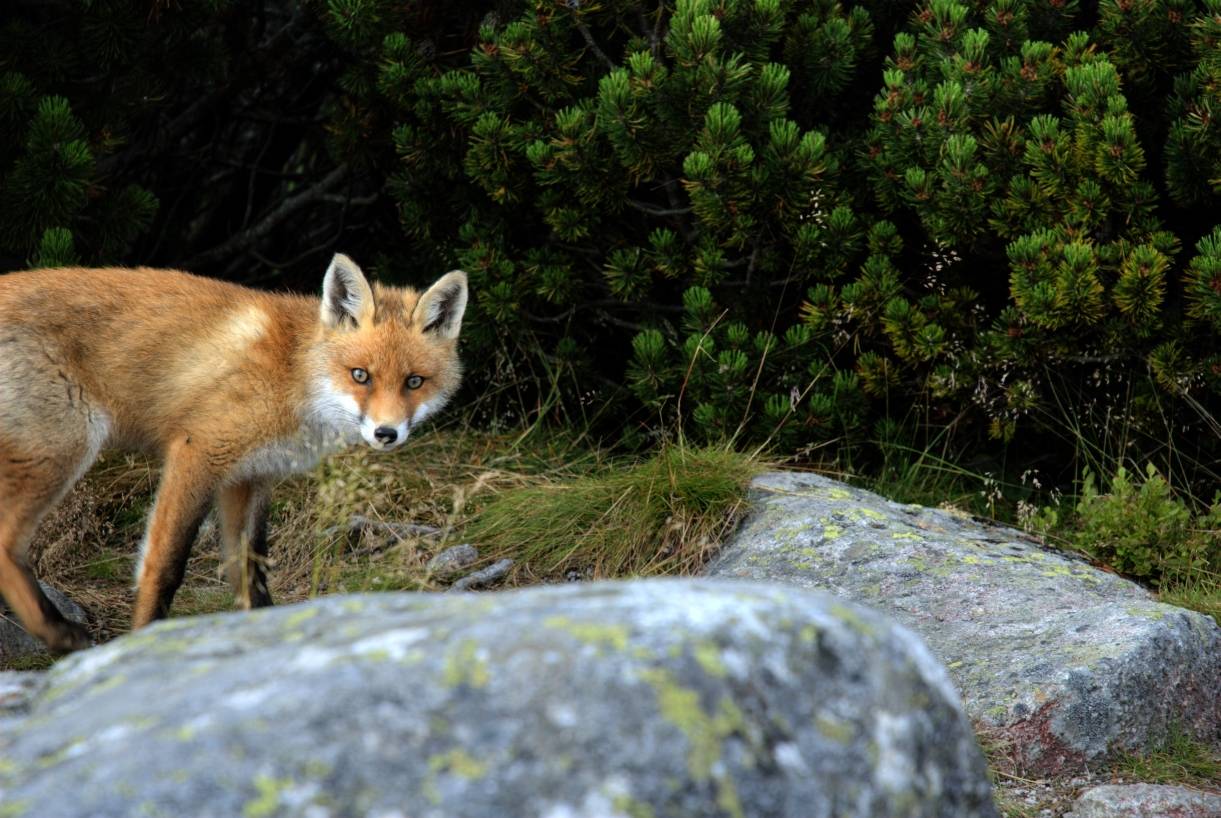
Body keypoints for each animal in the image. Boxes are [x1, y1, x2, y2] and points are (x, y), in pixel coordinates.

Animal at [0, 256, 466, 654]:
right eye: (360, 375)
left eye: (414, 381)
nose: (386, 433)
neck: (293, 373)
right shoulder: (198, 452)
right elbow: (164, 567)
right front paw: (145, 639)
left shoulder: (249, 478)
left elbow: (251, 576)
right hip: (62, 448)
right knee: (7, 543)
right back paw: (57, 633)